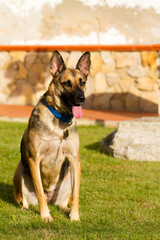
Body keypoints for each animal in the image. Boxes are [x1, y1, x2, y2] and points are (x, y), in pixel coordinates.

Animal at [13, 50, 90, 221]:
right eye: (67, 83)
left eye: (82, 82)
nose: (81, 99)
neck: (60, 119)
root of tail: (52, 198)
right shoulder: (34, 159)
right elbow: (40, 192)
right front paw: (45, 215)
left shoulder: (75, 160)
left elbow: (76, 194)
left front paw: (75, 216)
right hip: (20, 169)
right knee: (25, 199)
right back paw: (25, 208)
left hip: (69, 175)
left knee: (65, 201)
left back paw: (65, 208)